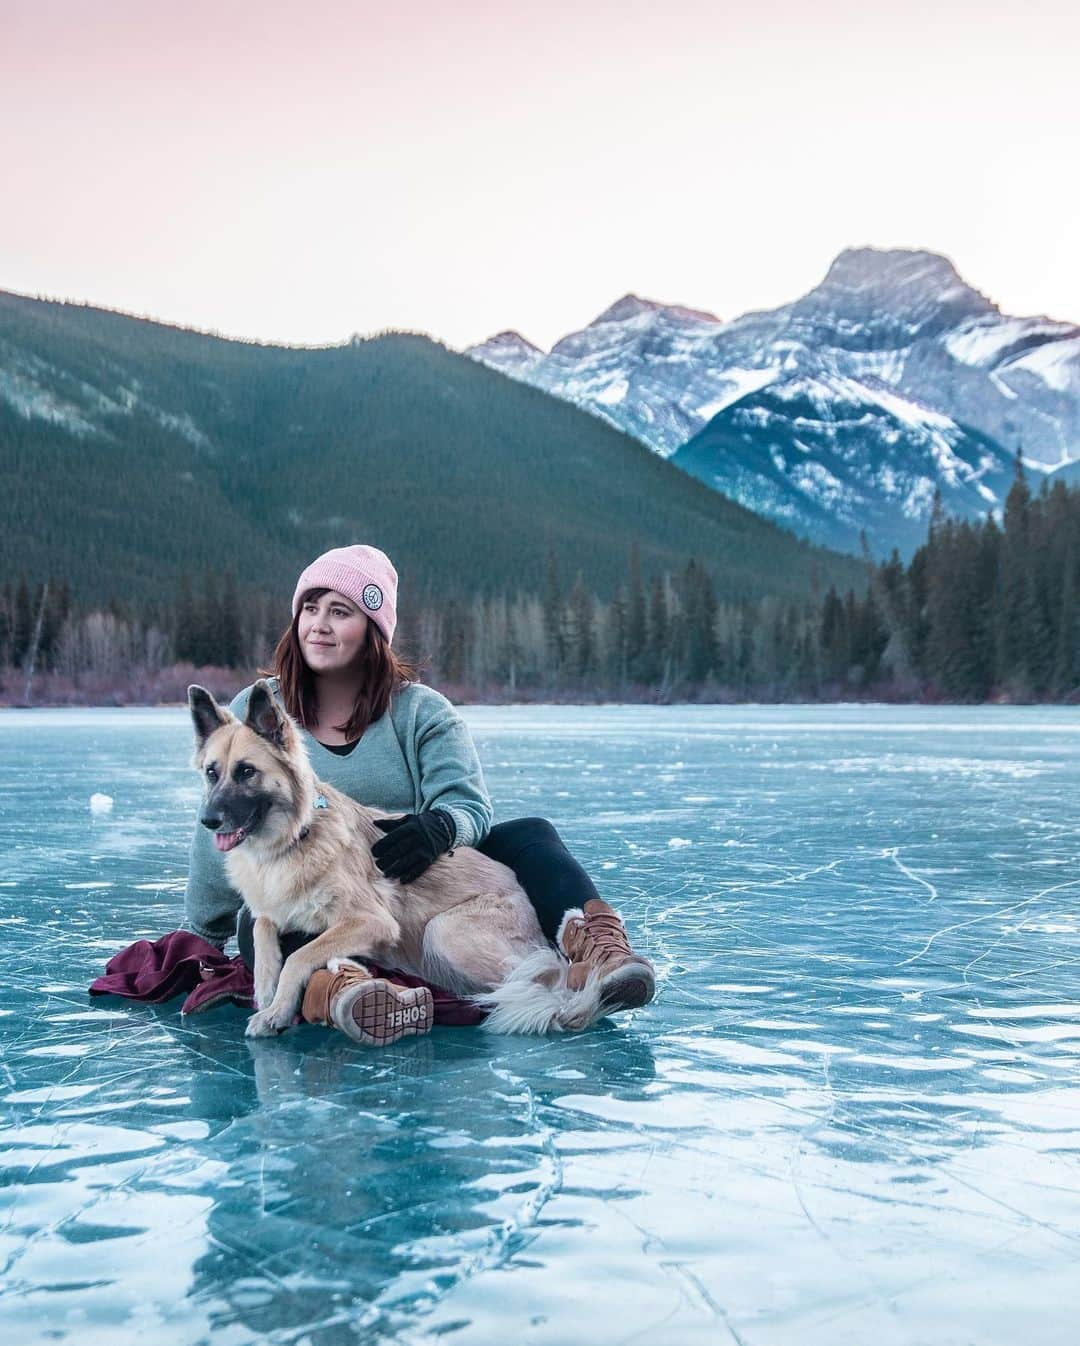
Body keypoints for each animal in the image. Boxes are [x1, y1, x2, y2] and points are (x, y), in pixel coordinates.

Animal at [187, 678, 605, 1033]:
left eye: (246, 772)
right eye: (211, 773)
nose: (208, 820)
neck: (293, 838)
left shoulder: (370, 921)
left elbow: (300, 956)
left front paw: (277, 1009)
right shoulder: (274, 909)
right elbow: (261, 930)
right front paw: (264, 991)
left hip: (444, 931)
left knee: (550, 978)